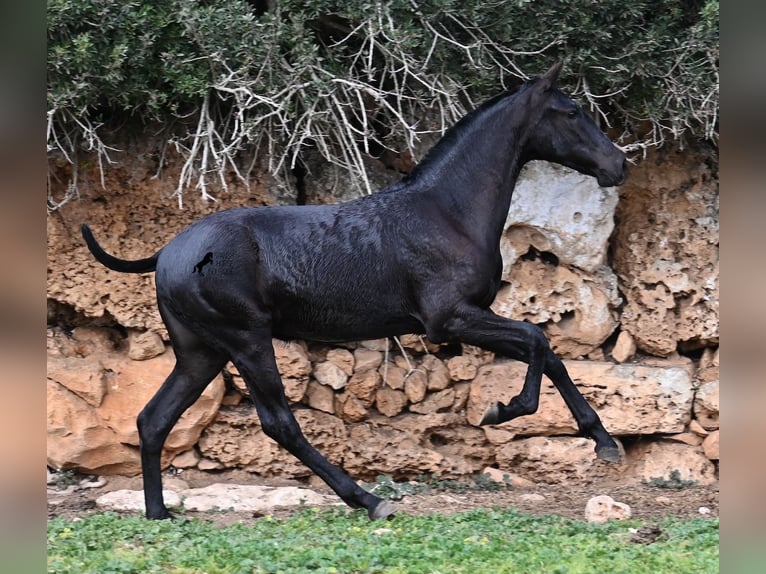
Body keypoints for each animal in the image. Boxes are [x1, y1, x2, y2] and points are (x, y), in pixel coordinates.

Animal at [81, 62, 628, 520]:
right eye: (572, 112)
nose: (618, 164)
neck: (446, 211)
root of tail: (166, 254)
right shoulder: (450, 318)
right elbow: (538, 341)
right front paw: (504, 410)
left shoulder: (467, 317)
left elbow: (547, 352)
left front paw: (603, 441)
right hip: (246, 341)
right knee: (279, 423)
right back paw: (370, 500)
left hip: (202, 352)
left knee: (153, 419)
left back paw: (159, 513)